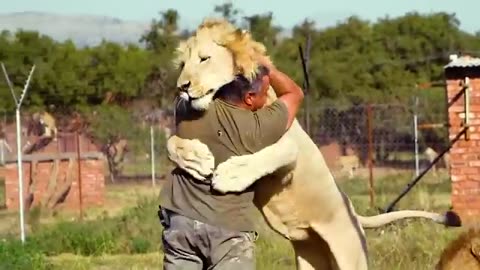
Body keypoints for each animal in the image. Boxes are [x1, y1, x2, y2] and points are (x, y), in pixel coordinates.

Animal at [165, 17, 462, 268]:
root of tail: (354, 212)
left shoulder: (287, 141)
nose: (182, 87)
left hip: (351, 257)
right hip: (312, 259)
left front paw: (230, 175)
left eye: (204, 58)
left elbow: (272, 153)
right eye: (182, 65)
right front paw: (196, 159)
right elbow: (171, 142)